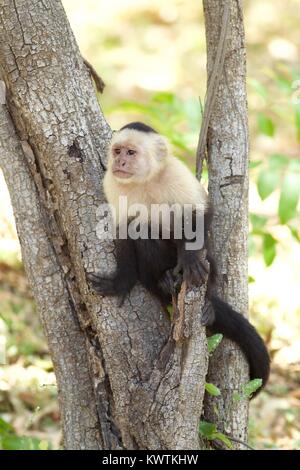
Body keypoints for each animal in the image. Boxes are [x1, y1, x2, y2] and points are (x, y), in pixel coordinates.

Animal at [88, 122, 270, 396]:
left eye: (131, 152)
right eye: (117, 150)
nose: (119, 161)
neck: (146, 180)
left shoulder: (176, 173)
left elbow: (199, 212)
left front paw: (190, 258)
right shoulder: (112, 183)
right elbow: (124, 232)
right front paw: (121, 283)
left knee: (206, 259)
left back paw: (207, 305)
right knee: (143, 231)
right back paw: (162, 282)